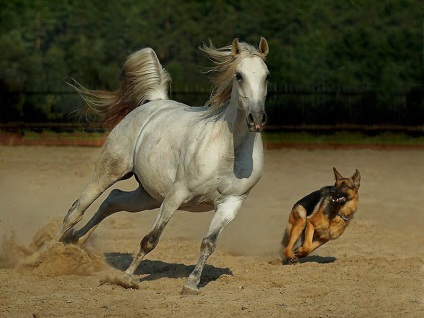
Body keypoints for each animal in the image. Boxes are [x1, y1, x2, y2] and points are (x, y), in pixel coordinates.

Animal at [57, 38, 268, 296]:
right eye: (239, 75)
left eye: (267, 75)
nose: (256, 119)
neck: (228, 151)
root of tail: (155, 103)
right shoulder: (176, 194)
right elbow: (151, 239)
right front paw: (126, 278)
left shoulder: (230, 205)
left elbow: (208, 244)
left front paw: (191, 284)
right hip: (111, 171)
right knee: (77, 209)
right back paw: (49, 251)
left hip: (148, 196)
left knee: (112, 201)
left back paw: (75, 242)